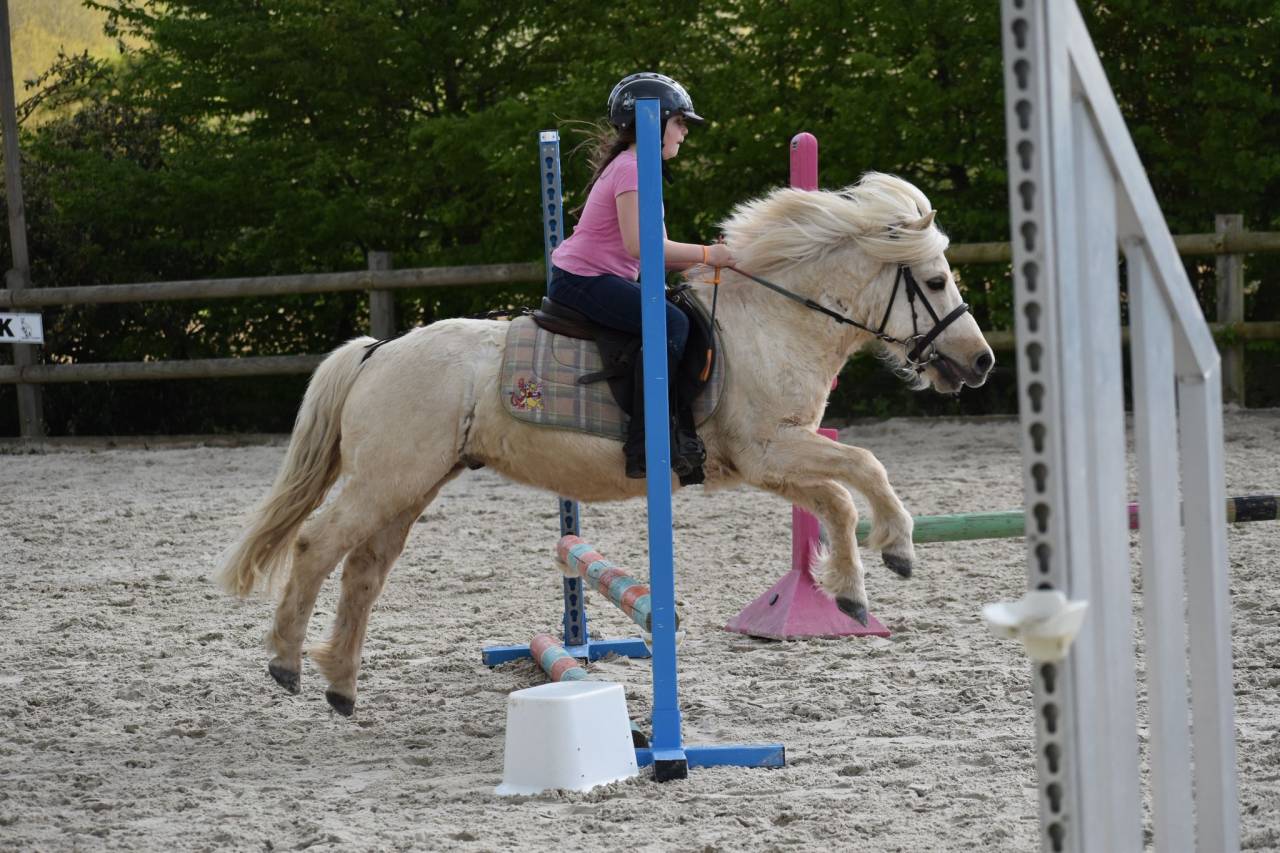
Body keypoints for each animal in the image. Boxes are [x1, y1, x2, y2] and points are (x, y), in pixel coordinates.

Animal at [216, 171, 995, 715]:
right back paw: (287, 661)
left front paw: (853, 593)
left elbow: (836, 500)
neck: (772, 323)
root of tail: (381, 351)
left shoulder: (769, 458)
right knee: (317, 544)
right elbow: (864, 469)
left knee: (363, 572)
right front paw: (897, 548)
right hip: (386, 481)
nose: (981, 361)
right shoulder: (773, 448)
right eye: (934, 280)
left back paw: (341, 684)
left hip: (407, 489)